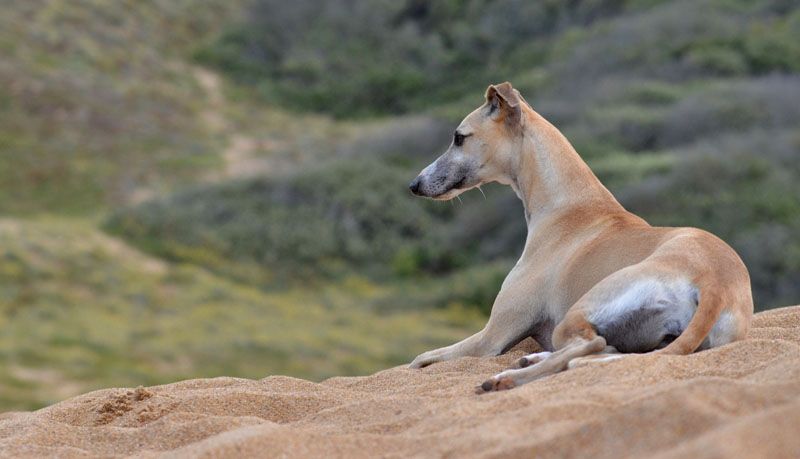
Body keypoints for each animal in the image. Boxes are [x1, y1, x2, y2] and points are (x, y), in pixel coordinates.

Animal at [410, 82, 752, 392]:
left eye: (459, 138)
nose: (414, 185)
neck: (570, 205)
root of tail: (715, 282)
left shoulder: (491, 336)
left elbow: (420, 359)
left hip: (584, 307)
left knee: (589, 345)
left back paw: (505, 378)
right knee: (609, 352)